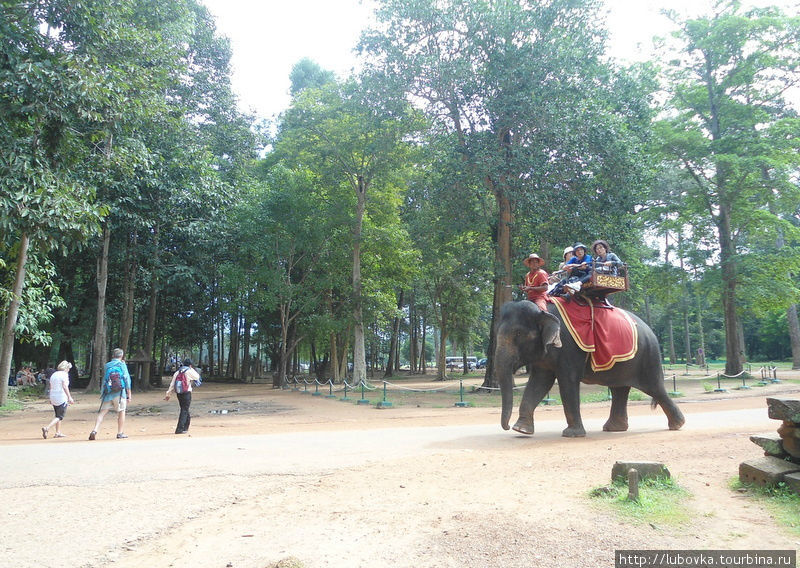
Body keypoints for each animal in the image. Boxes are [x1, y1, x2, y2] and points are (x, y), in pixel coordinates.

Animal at [496, 300, 684, 438]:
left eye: (518, 334)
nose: (506, 427)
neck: (542, 309)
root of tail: (650, 331)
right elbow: (539, 383)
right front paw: (521, 430)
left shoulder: (570, 348)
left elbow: (567, 381)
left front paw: (572, 435)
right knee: (619, 390)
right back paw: (614, 428)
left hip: (648, 356)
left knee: (654, 388)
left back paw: (677, 425)